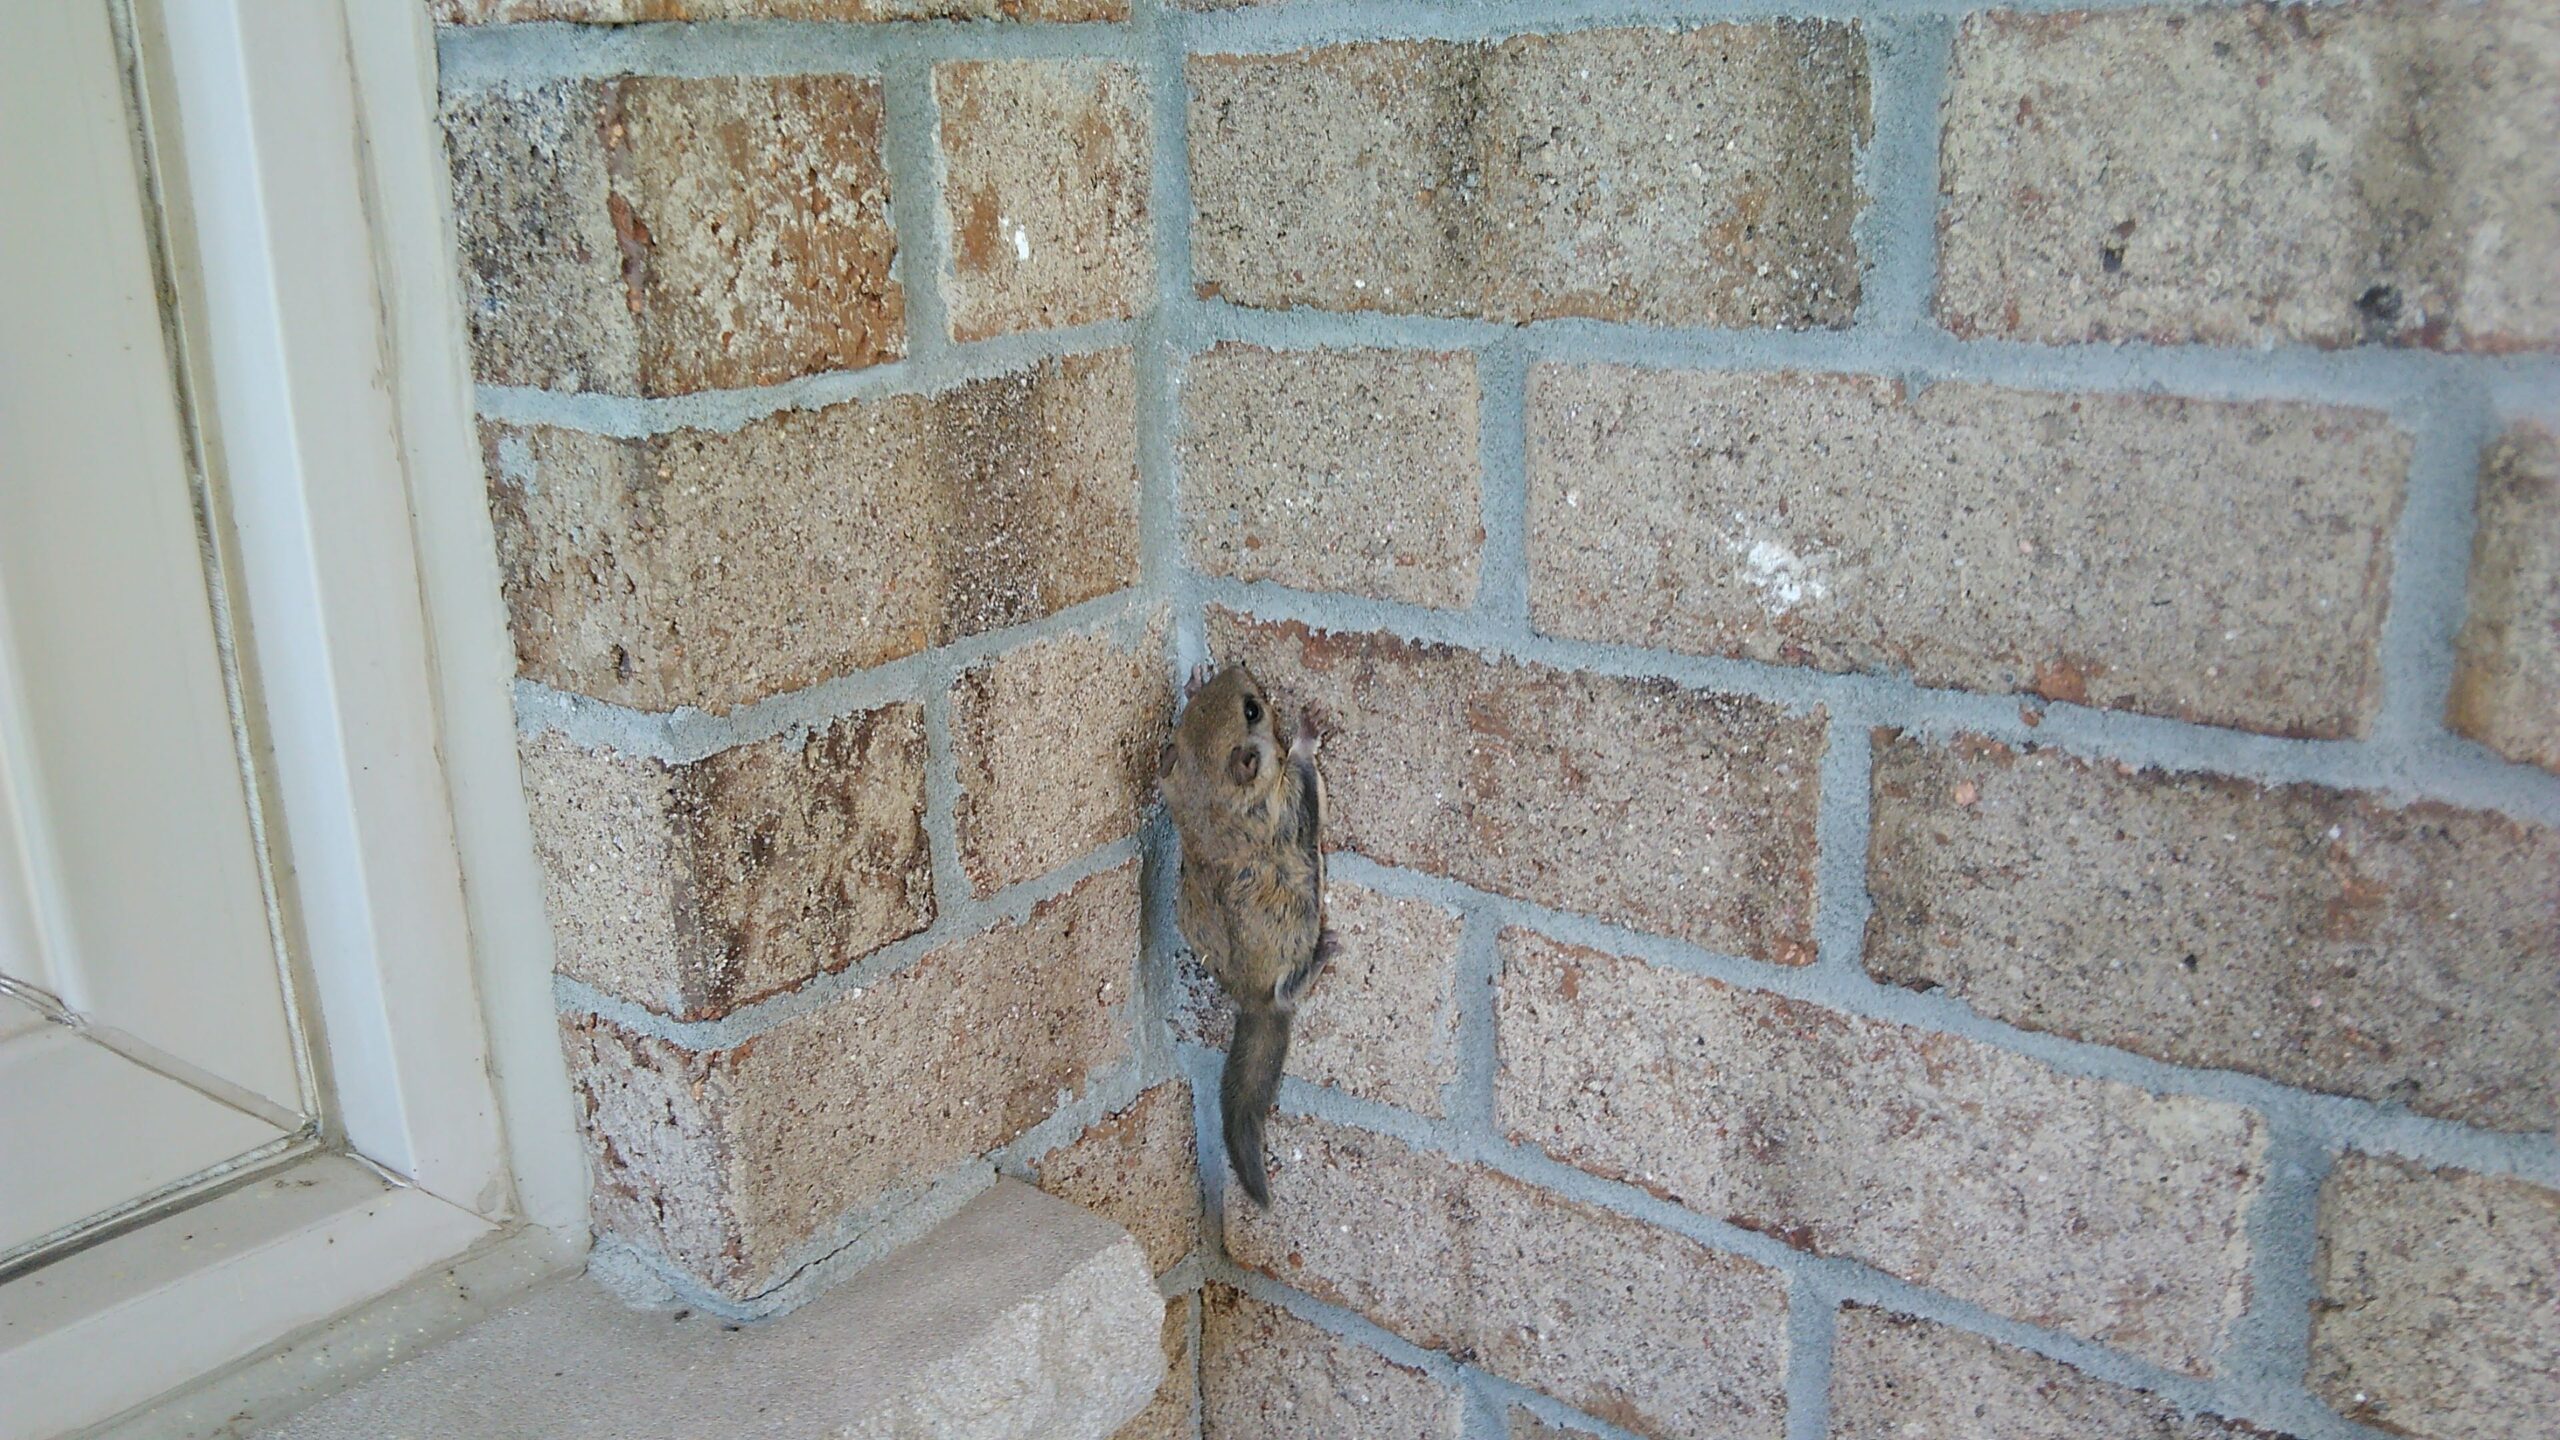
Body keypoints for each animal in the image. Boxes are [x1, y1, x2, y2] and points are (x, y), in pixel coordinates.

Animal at [1160, 661, 1336, 1208]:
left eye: (1196, 709)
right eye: (1252, 710)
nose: (1239, 669)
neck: (1211, 801)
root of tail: (1252, 1000)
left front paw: (1194, 680)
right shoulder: (1290, 797)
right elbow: (1301, 766)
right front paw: (1307, 731)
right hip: (1297, 934)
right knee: (1291, 988)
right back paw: (1323, 954)